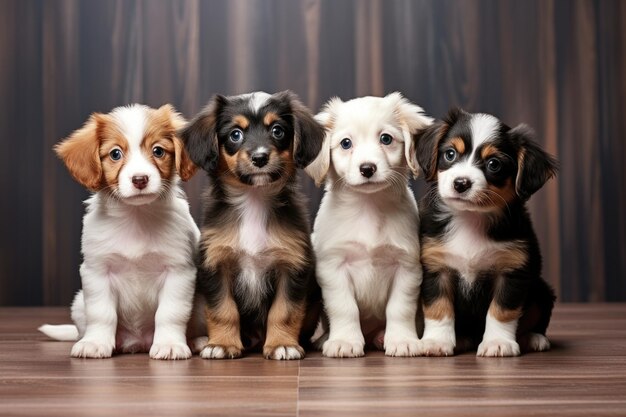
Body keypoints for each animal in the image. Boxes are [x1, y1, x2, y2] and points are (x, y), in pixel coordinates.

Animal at [38, 103, 200, 358]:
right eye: (115, 154)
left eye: (158, 151)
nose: (140, 179)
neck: (136, 217)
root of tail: (138, 342)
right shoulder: (97, 271)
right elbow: (101, 314)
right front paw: (95, 342)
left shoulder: (178, 271)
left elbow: (170, 313)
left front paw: (170, 344)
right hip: (79, 302)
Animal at [180, 89, 324, 360]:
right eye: (235, 134)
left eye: (277, 130)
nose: (259, 157)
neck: (254, 200)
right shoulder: (216, 263)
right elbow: (223, 310)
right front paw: (222, 344)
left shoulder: (291, 265)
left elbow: (284, 311)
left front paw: (282, 344)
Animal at [304, 92, 432, 356]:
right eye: (345, 143)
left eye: (386, 139)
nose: (367, 168)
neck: (369, 208)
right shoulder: (333, 267)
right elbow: (344, 308)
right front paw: (344, 341)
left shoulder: (406, 267)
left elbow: (399, 308)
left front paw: (402, 339)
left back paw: (381, 337)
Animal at [414, 109, 556, 356]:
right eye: (450, 154)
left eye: (494, 164)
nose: (461, 183)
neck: (470, 218)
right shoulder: (436, 268)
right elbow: (438, 308)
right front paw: (436, 342)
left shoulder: (512, 271)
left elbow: (501, 311)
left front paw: (498, 342)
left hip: (541, 290)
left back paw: (532, 338)